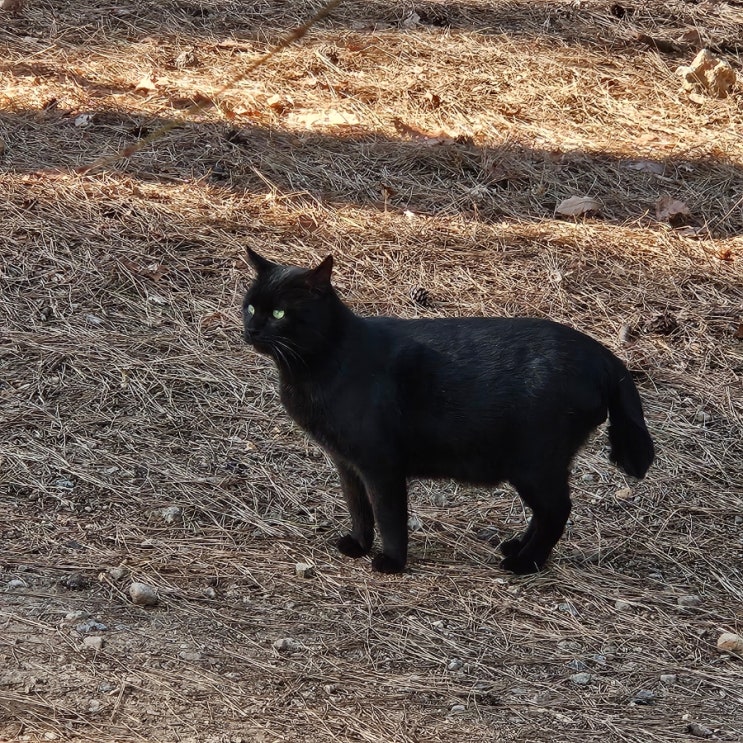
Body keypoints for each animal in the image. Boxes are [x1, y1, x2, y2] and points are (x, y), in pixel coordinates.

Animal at [241, 250, 652, 576]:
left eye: (279, 313)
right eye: (250, 306)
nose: (251, 329)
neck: (324, 363)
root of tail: (607, 358)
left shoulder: (380, 465)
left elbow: (389, 515)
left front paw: (391, 562)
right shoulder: (347, 463)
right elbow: (358, 508)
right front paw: (357, 544)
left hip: (535, 463)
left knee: (557, 511)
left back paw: (525, 563)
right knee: (546, 512)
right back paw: (516, 547)